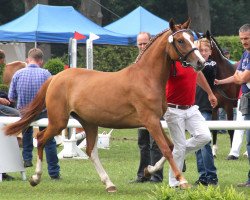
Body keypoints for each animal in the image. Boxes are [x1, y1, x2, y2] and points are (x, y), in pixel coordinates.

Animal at [3, 18, 206, 192]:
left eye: (192, 39)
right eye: (180, 40)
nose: (201, 62)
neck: (146, 77)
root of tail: (56, 77)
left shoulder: (155, 121)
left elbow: (170, 147)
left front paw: (148, 170)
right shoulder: (150, 121)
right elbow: (166, 149)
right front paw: (182, 180)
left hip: (89, 123)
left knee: (91, 151)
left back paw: (109, 184)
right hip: (59, 121)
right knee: (42, 139)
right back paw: (35, 178)